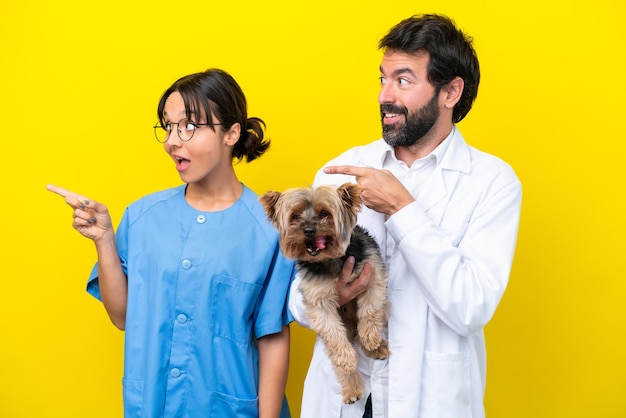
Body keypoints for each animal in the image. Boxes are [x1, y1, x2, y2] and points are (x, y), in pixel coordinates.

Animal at [258, 184, 386, 404]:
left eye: (324, 213)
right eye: (295, 215)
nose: (308, 230)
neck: (330, 261)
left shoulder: (372, 273)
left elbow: (370, 309)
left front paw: (370, 337)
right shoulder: (319, 302)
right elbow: (333, 334)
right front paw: (346, 357)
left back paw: (377, 347)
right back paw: (352, 388)